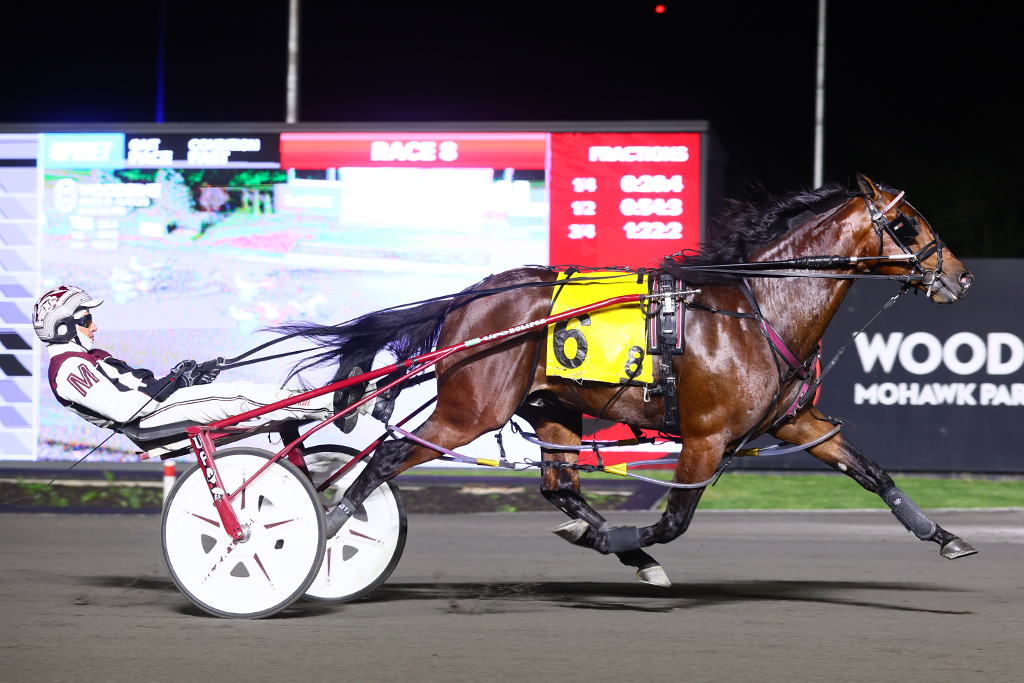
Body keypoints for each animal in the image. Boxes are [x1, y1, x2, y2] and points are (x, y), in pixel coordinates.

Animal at [280, 174, 977, 586]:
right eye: (907, 223)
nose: (961, 275)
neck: (755, 308)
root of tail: (470, 298)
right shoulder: (704, 436)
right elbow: (674, 519)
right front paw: (628, 538)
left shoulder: (794, 421)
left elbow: (872, 471)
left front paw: (943, 536)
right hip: (471, 408)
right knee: (387, 456)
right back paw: (331, 526)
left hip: (552, 406)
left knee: (559, 485)